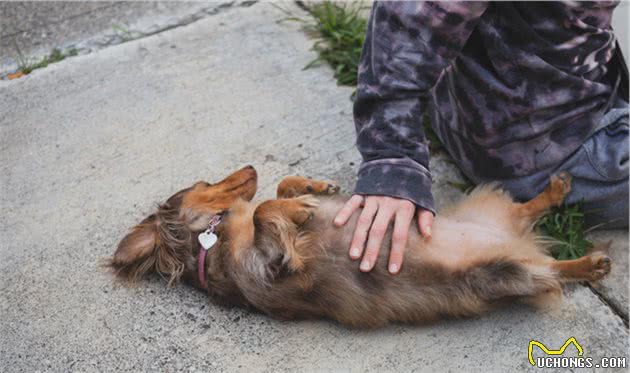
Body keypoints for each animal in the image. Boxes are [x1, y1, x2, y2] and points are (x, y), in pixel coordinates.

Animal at [108, 165, 612, 326]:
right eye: (203, 184)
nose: (250, 166)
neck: (215, 243)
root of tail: (513, 241)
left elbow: (276, 194)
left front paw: (310, 191)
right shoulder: (271, 269)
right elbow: (266, 211)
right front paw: (299, 211)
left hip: (495, 215)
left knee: (528, 209)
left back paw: (556, 191)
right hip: (506, 273)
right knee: (551, 269)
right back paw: (591, 264)